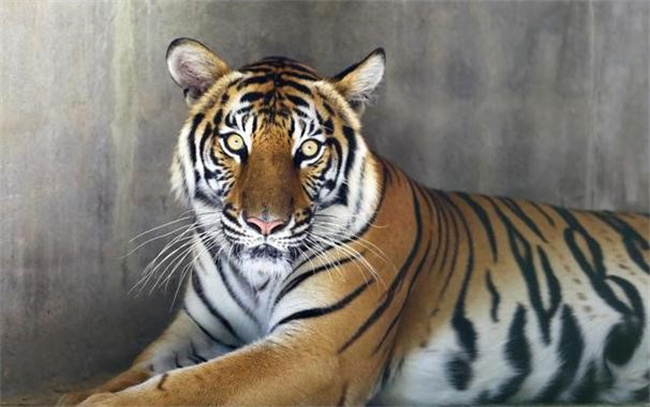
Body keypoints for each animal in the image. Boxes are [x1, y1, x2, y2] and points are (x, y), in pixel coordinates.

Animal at [59, 38, 649, 406]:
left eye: (308, 149)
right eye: (235, 143)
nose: (265, 225)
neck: (257, 278)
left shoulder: (315, 351)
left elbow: (184, 389)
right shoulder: (199, 330)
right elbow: (137, 371)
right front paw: (79, 393)